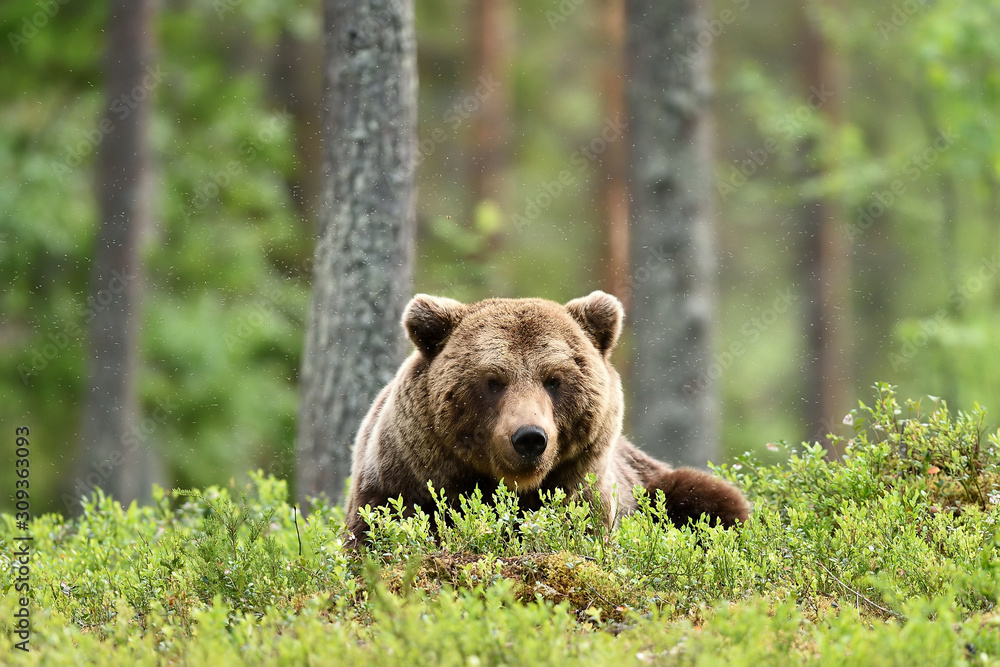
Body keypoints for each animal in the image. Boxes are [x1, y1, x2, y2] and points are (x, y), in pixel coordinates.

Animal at [344, 290, 749, 546]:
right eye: (493, 380)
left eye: (554, 379)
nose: (529, 437)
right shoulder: (401, 481)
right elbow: (377, 532)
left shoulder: (584, 493)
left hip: (653, 483)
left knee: (713, 500)